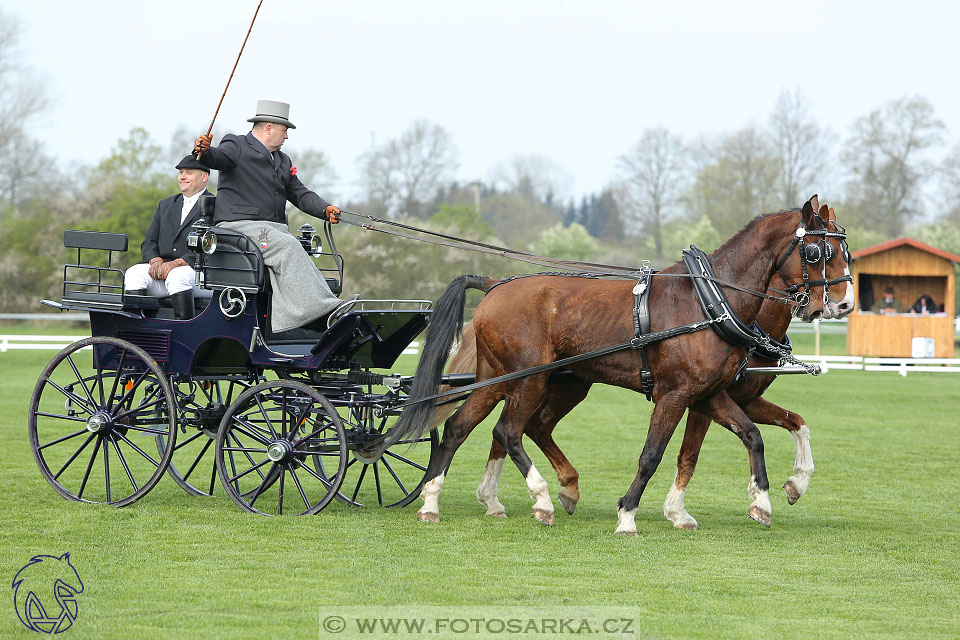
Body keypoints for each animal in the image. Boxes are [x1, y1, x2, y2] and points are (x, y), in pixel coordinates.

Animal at [386, 200, 852, 536]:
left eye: (844, 251)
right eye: (818, 250)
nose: (844, 304)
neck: (710, 303)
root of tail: (496, 285)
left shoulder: (708, 395)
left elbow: (753, 436)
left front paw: (766, 499)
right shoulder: (675, 396)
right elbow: (655, 455)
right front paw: (628, 514)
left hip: (503, 381)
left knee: (463, 428)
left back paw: (439, 502)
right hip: (529, 380)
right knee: (508, 431)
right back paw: (541, 499)